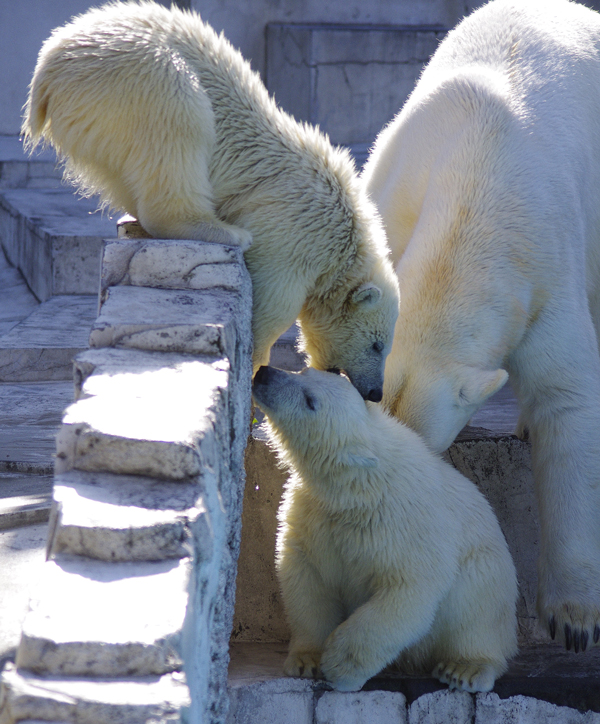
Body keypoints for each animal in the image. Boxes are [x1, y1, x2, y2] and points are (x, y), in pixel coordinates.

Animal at [23, 1, 398, 402]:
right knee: (178, 110)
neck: (347, 234)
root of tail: (47, 69)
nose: (375, 392)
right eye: (377, 344)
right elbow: (271, 309)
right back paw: (218, 230)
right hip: (128, 73)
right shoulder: (296, 236)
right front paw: (254, 374)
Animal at [251, 364, 516, 692]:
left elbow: (409, 586)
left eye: (310, 400)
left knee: (476, 610)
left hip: (486, 576)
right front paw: (305, 660)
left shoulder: (399, 523)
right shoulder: (312, 513)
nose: (265, 372)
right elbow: (306, 579)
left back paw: (464, 668)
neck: (354, 487)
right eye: (305, 371)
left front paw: (339, 665)